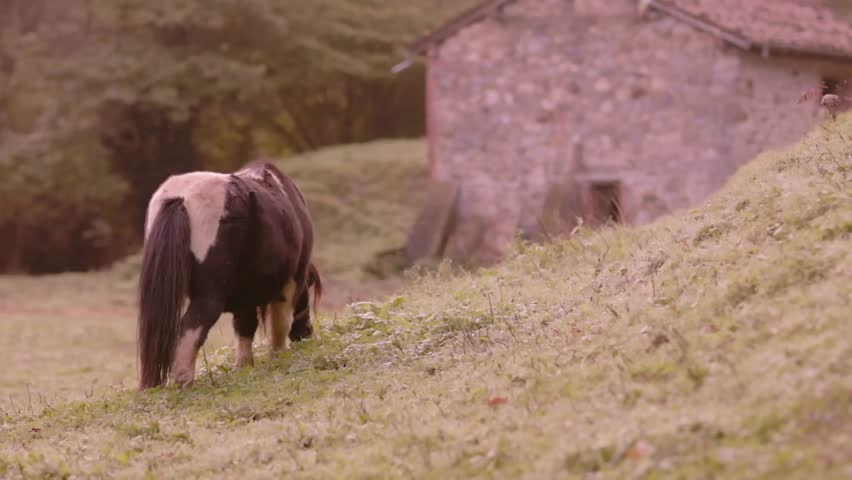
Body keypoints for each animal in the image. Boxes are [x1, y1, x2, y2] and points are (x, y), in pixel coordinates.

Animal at [137, 160, 322, 389]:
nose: (306, 333)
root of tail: (180, 198)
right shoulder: (290, 283)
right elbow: (279, 324)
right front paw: (278, 356)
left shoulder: (246, 295)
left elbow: (245, 328)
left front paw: (244, 367)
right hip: (209, 295)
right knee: (191, 328)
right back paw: (184, 382)